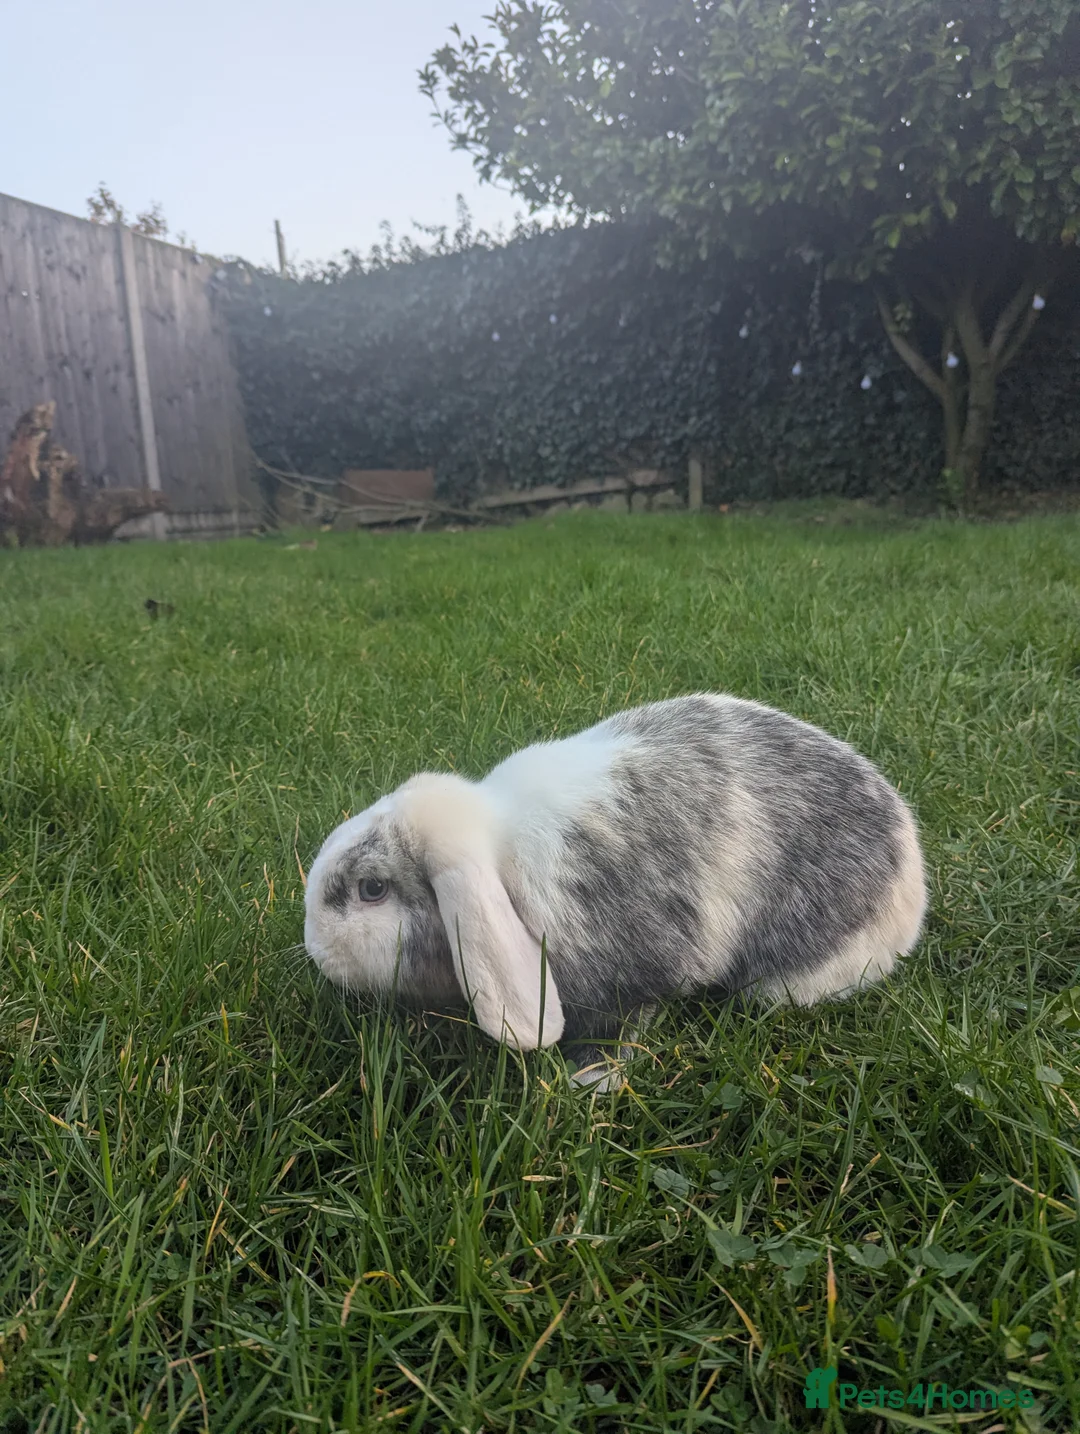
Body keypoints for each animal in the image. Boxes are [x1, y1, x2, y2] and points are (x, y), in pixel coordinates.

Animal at [304, 693, 927, 1087]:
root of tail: (913, 881)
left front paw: (592, 1079)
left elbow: (622, 1021)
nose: (314, 951)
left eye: (372, 888)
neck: (501, 860)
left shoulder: (627, 973)